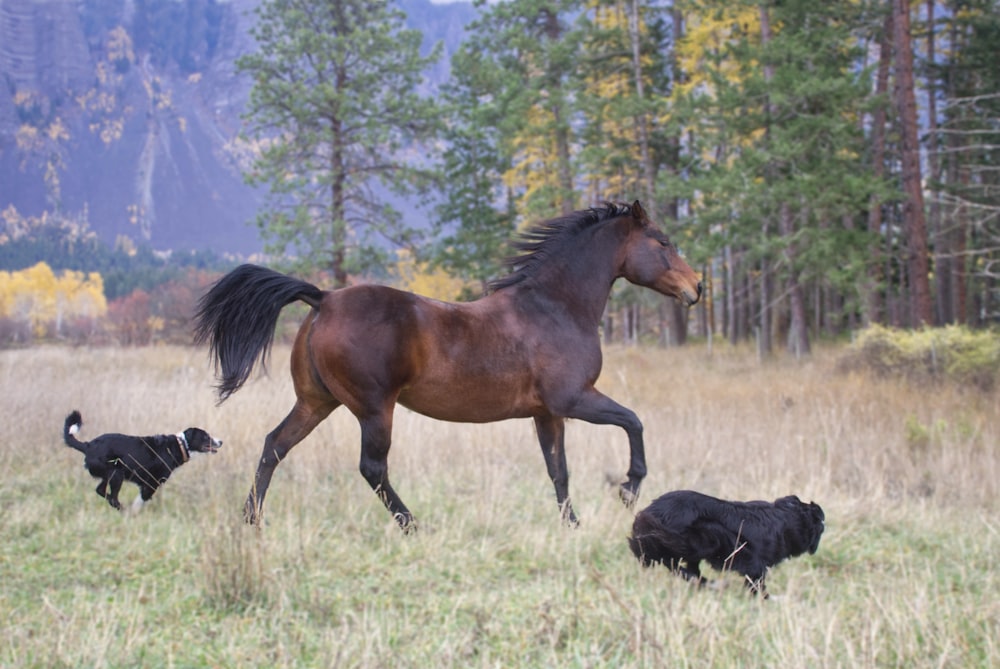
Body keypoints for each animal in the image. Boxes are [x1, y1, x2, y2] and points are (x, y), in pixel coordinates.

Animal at [63, 408, 223, 512]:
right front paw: (134, 513)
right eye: (206, 437)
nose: (220, 441)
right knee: (112, 497)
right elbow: (141, 501)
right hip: (116, 474)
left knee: (100, 490)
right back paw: (122, 509)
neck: (180, 445)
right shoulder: (151, 483)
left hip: (110, 475)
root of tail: (87, 445)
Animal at [191, 201, 700, 528]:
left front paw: (571, 524)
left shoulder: (547, 413)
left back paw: (252, 519)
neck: (555, 307)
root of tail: (325, 298)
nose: (696, 287)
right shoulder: (574, 399)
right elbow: (633, 422)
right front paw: (628, 489)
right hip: (374, 409)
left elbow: (559, 470)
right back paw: (412, 524)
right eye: (663, 241)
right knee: (372, 468)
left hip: (316, 402)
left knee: (275, 445)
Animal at [628, 490, 824, 596]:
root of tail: (650, 511)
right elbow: (757, 582)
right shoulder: (752, 562)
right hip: (702, 538)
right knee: (673, 563)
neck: (786, 519)